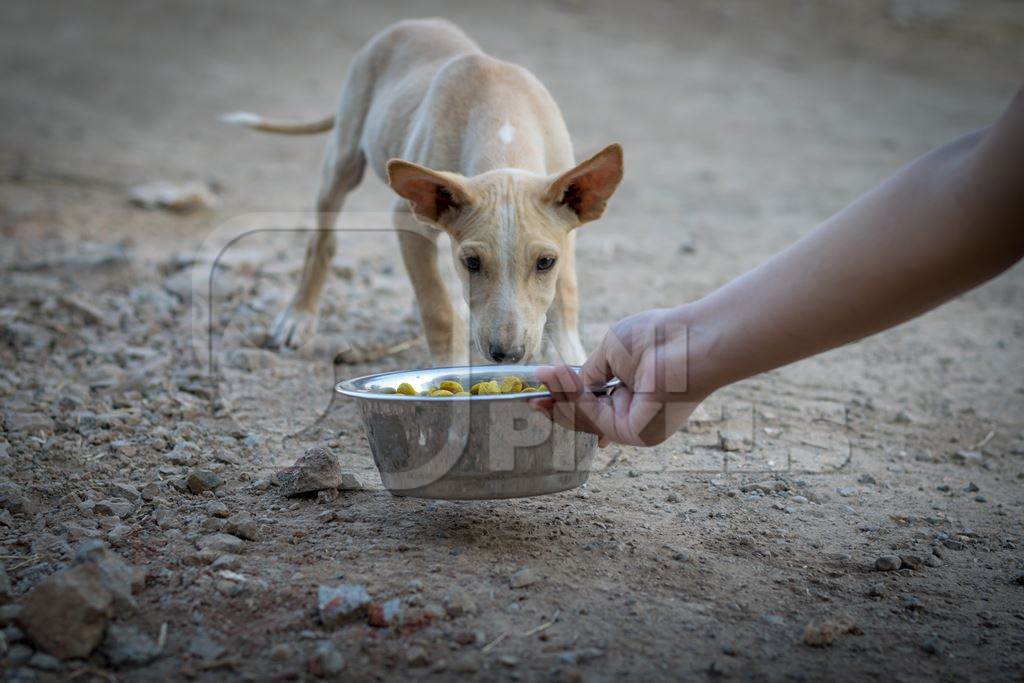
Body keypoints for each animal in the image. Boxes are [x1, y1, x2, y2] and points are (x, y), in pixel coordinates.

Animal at [226, 17, 622, 368]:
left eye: (545, 263)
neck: (503, 122)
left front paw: (573, 358)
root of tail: (411, 23)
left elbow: (566, 298)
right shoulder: (407, 221)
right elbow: (437, 305)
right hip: (342, 160)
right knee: (321, 242)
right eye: (472, 262)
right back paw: (297, 317)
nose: (506, 355)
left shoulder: (567, 233)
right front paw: (447, 366)